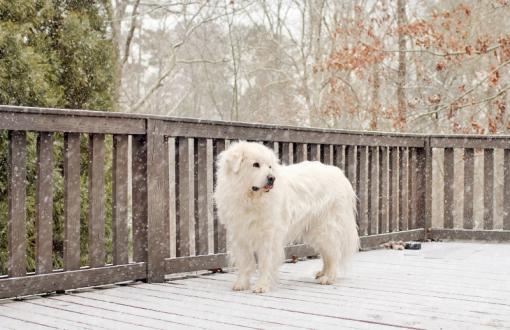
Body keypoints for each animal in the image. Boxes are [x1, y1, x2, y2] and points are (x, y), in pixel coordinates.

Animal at [212, 141, 358, 292]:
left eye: (270, 166)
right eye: (256, 164)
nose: (272, 178)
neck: (250, 199)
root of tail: (340, 175)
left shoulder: (269, 235)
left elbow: (265, 262)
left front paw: (262, 286)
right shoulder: (240, 234)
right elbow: (244, 261)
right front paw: (241, 284)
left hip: (326, 228)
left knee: (334, 253)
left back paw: (329, 277)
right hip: (315, 230)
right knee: (327, 254)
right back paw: (322, 273)